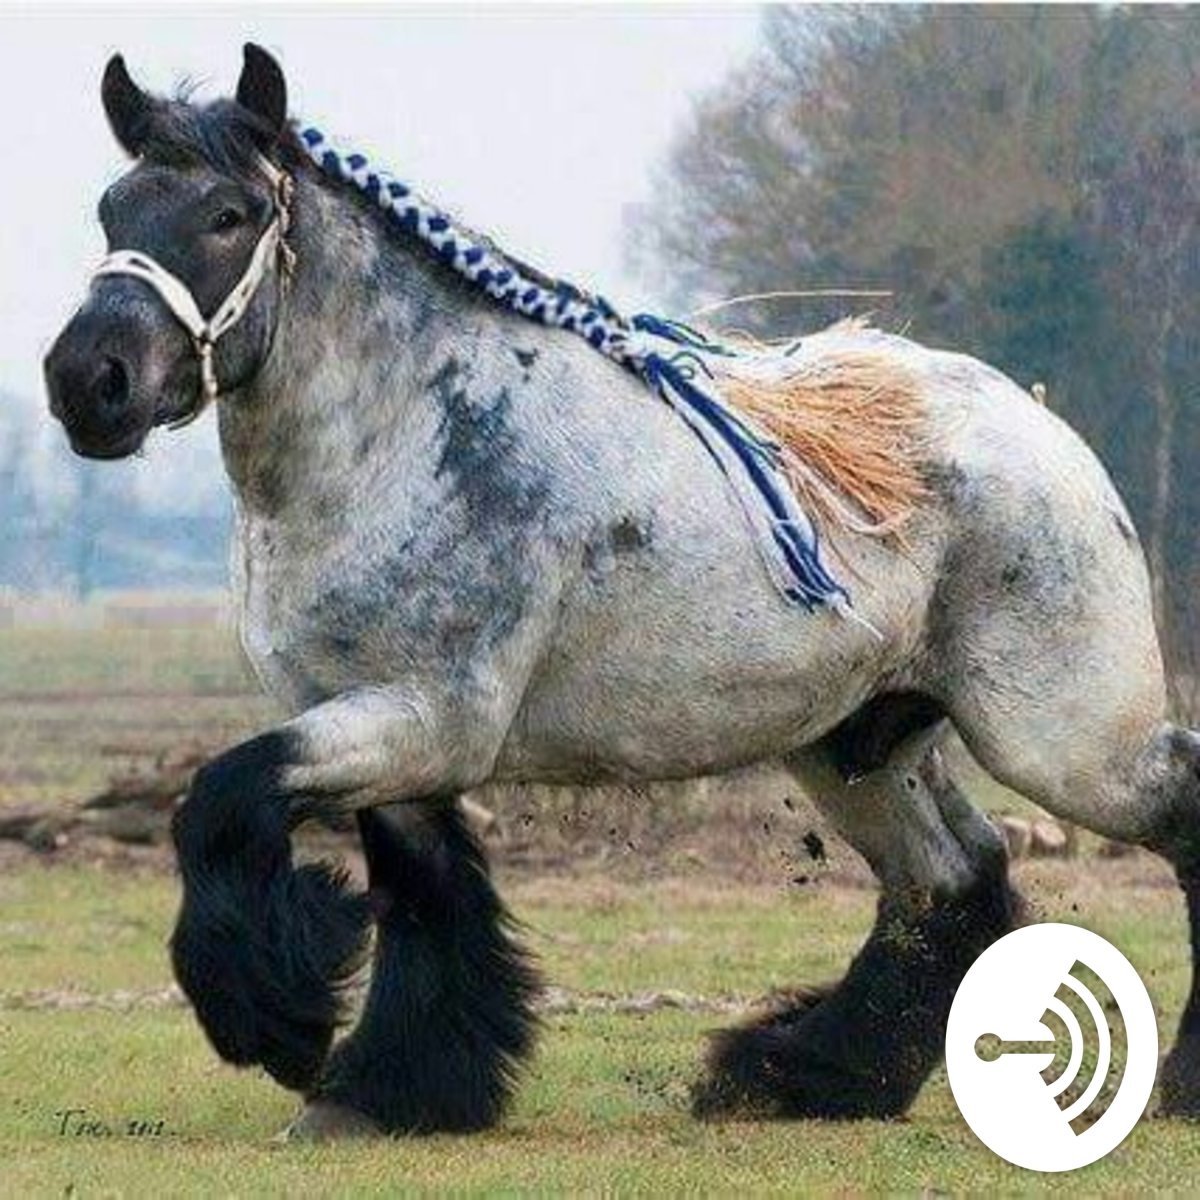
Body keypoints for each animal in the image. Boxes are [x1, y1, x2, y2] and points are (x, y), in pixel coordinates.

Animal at [43, 44, 1200, 1140]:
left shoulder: (426, 718)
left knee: (1159, 815)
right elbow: (423, 896)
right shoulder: (382, 730)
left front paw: (278, 1026)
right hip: (858, 742)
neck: (397, 433)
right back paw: (795, 1077)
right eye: (112, 210)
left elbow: (220, 801)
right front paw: (383, 1092)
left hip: (1063, 740)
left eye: (227, 216)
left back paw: (1170, 1084)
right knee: (949, 879)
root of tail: (1043, 426)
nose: (87, 382)